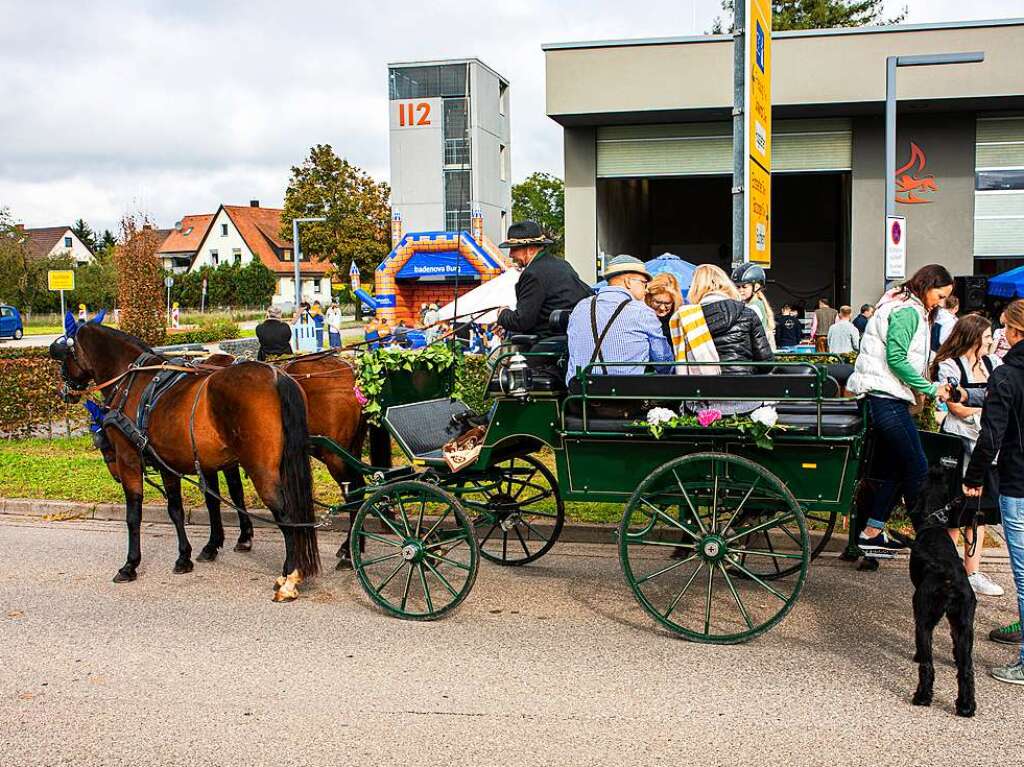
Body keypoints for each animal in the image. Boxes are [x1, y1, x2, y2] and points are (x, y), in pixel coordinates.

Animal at [48, 319, 317, 602]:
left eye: (64, 355)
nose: (63, 390)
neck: (132, 380)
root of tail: (276, 375)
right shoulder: (168, 463)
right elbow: (176, 510)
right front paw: (184, 557)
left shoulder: (128, 458)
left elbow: (133, 514)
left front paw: (130, 565)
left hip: (260, 468)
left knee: (285, 514)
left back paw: (290, 574)